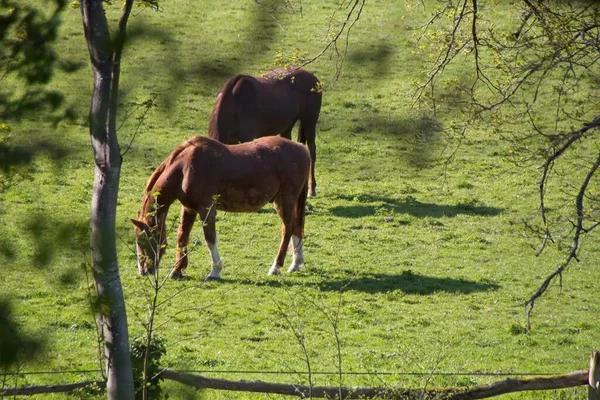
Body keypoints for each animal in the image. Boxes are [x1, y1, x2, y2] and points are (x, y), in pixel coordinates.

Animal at [131, 136, 310, 280]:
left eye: (141, 240)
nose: (143, 271)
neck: (184, 167)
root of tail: (302, 148)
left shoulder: (206, 208)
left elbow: (210, 238)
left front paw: (215, 271)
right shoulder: (189, 208)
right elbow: (182, 237)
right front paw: (177, 270)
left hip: (285, 200)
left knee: (288, 229)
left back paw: (276, 267)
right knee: (296, 228)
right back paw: (296, 263)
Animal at [210, 67, 324, 198]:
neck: (235, 103)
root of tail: (313, 78)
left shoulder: (247, 138)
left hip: (309, 121)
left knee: (312, 151)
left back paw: (312, 189)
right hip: (288, 125)